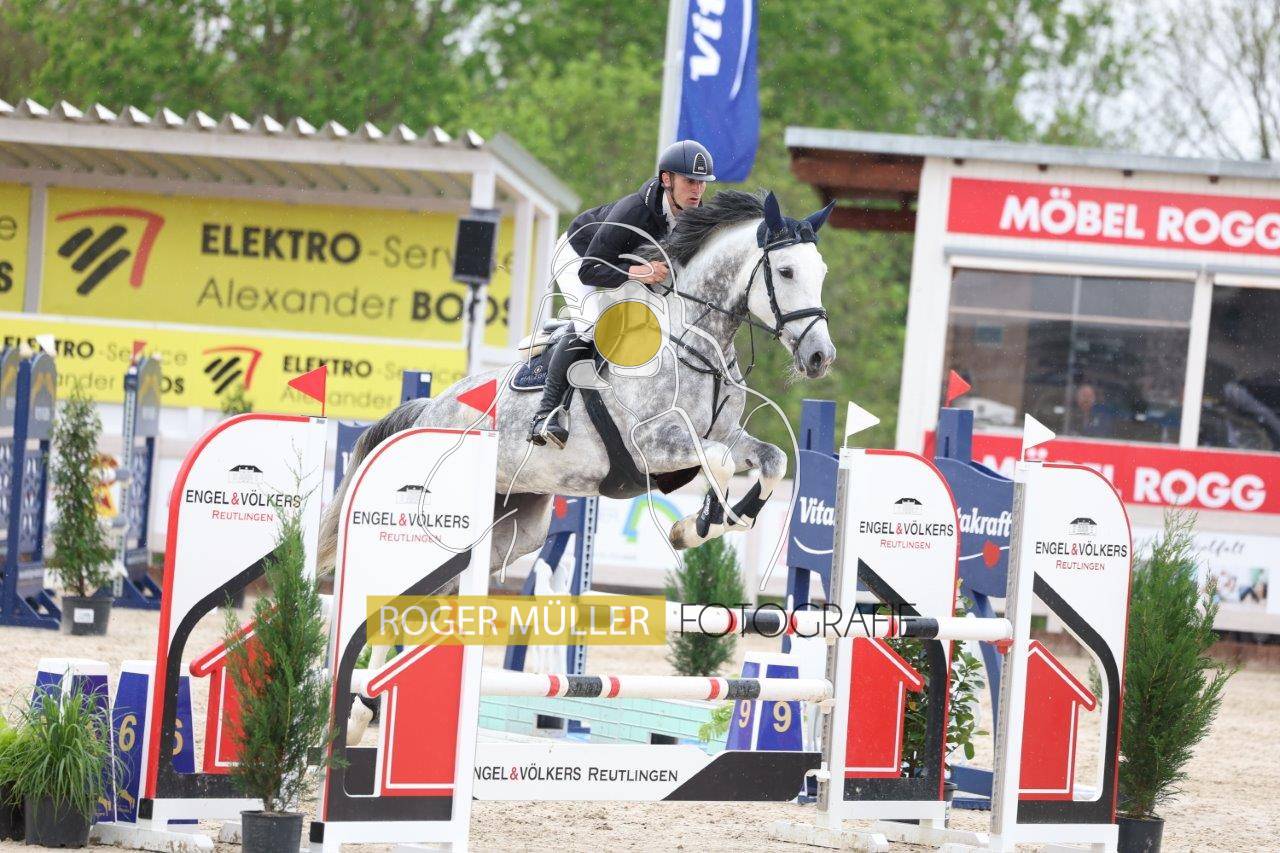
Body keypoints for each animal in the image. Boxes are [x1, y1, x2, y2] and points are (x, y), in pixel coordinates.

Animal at [317, 190, 837, 582]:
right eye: (786, 271)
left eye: (821, 273)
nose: (820, 357)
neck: (694, 341)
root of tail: (427, 410)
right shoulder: (653, 445)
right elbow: (722, 463)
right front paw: (700, 524)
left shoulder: (726, 435)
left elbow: (772, 461)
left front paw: (710, 522)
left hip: (513, 529)